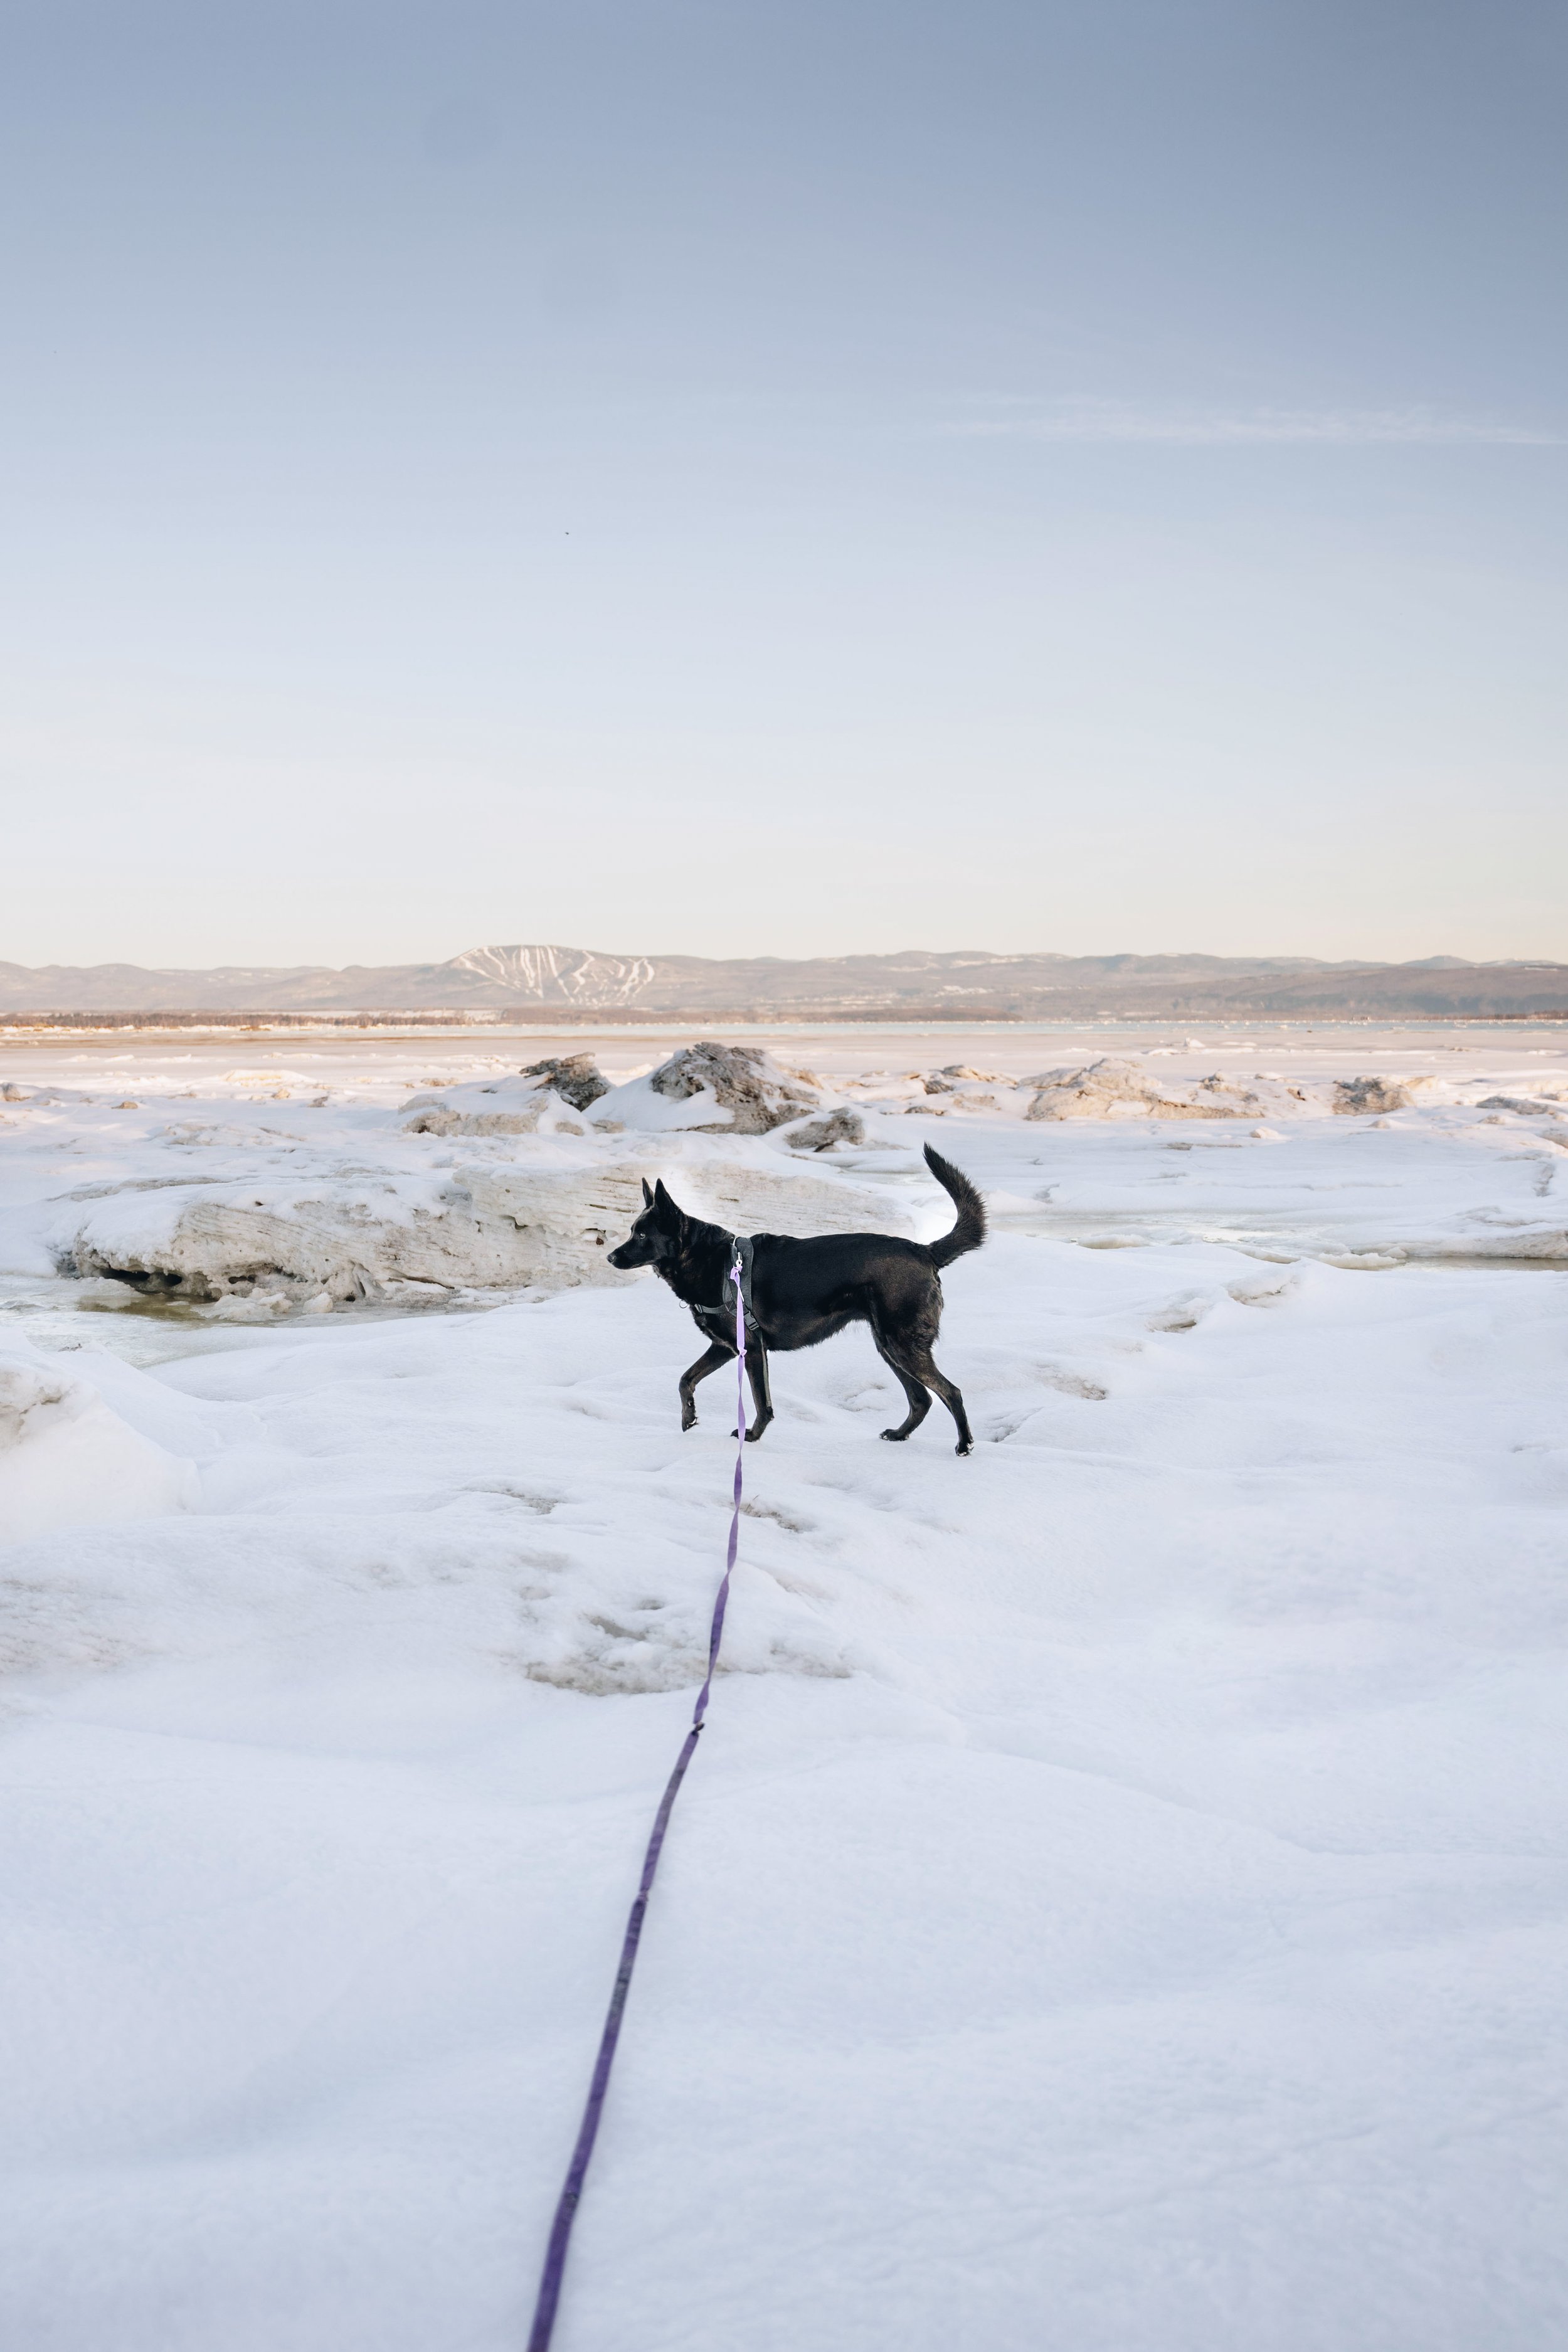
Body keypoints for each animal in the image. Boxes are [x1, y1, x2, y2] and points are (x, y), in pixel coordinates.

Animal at [607, 1143, 987, 1449]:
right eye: (632, 1231)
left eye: (642, 1235)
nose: (610, 1257)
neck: (707, 1260)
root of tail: (924, 1250)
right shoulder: (724, 1347)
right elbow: (685, 1380)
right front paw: (689, 1418)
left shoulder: (752, 1349)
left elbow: (761, 1401)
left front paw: (752, 1437)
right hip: (888, 1346)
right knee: (922, 1399)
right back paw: (899, 1435)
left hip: (901, 1344)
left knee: (950, 1392)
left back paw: (964, 1446)